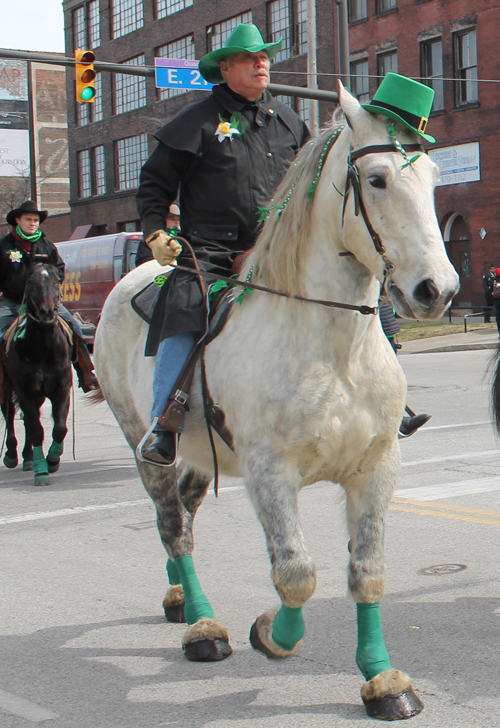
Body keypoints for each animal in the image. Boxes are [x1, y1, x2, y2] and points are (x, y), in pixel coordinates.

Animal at [1, 258, 72, 486]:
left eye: (56, 281)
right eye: (31, 283)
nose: (47, 312)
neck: (42, 348)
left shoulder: (61, 389)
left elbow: (59, 428)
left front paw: (52, 460)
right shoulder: (24, 391)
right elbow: (36, 429)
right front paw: (42, 471)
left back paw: (29, 457)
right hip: (5, 388)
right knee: (10, 415)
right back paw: (12, 455)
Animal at [95, 82, 458, 720]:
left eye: (434, 175)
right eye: (378, 179)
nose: (436, 290)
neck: (333, 347)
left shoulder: (375, 469)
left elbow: (367, 572)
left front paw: (384, 681)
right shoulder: (271, 472)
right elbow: (296, 574)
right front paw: (271, 635)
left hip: (201, 452)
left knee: (186, 512)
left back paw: (179, 598)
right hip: (143, 439)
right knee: (172, 523)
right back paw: (204, 627)